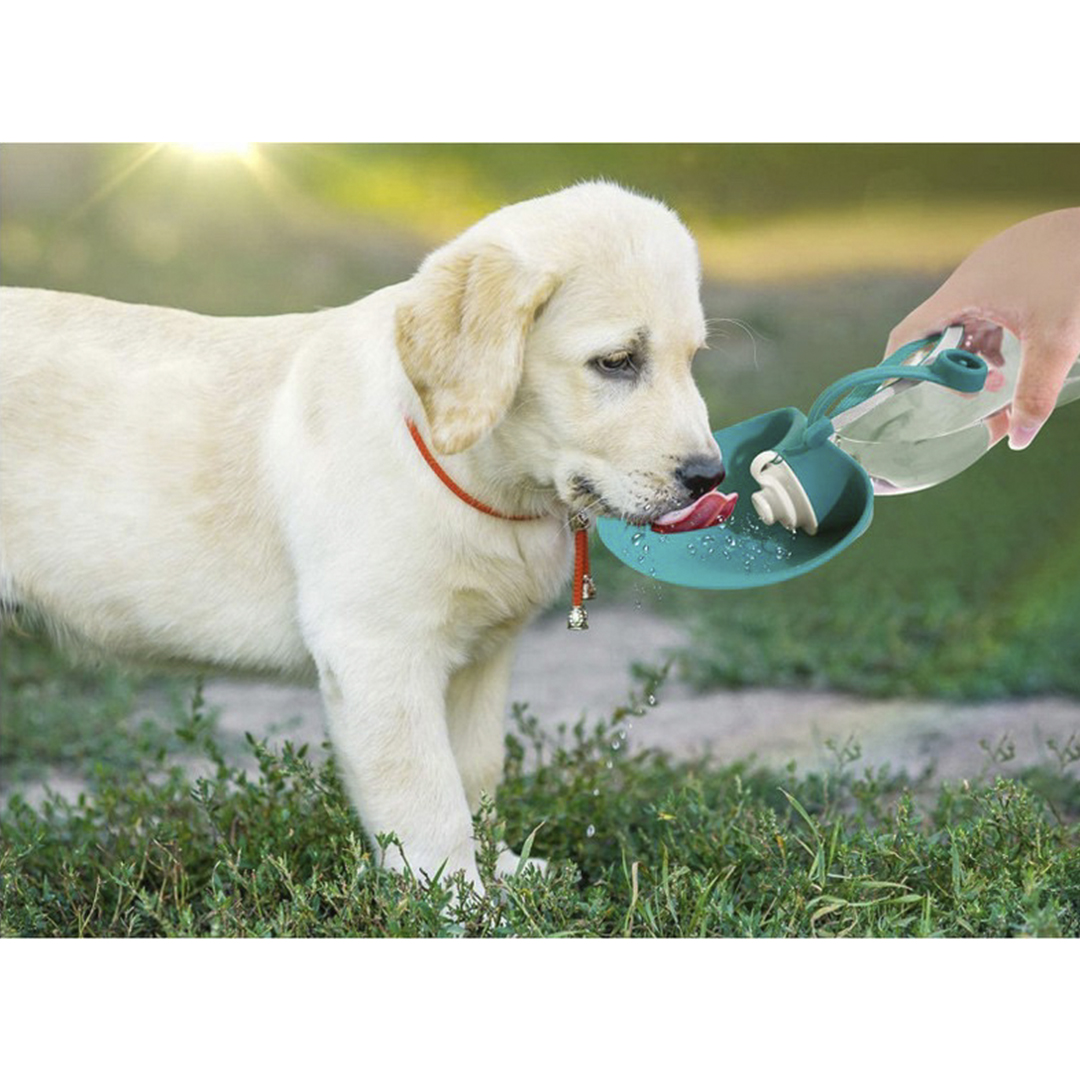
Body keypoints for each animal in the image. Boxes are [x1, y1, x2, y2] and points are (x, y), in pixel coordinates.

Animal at [4, 181, 725, 889]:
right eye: (617, 362)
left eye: (693, 359)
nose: (709, 476)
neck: (475, 472)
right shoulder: (379, 653)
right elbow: (428, 798)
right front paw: (459, 900)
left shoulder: (482, 657)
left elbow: (476, 772)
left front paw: (504, 870)